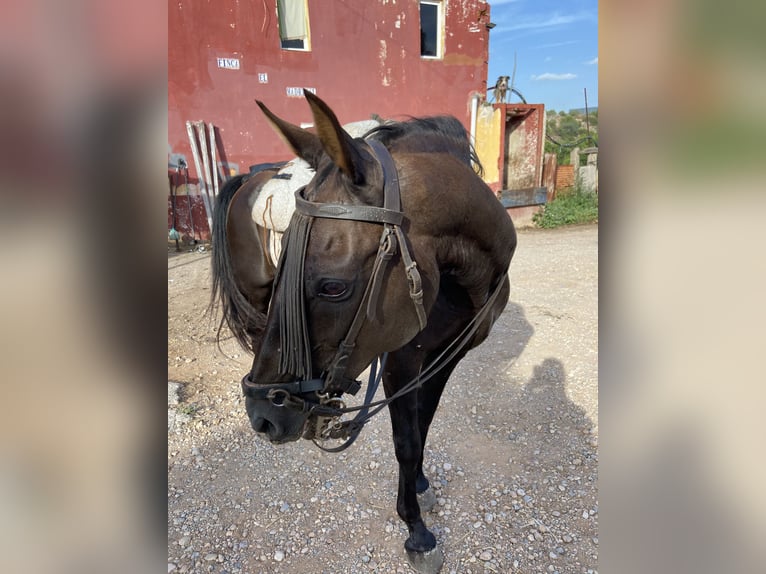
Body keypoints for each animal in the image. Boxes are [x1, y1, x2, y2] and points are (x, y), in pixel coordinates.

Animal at [213, 92, 520, 572]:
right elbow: (406, 440)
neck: (464, 277)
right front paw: (416, 531)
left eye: (333, 287)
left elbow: (423, 423)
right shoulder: (400, 360)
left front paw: (420, 487)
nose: (264, 417)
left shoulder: (446, 355)